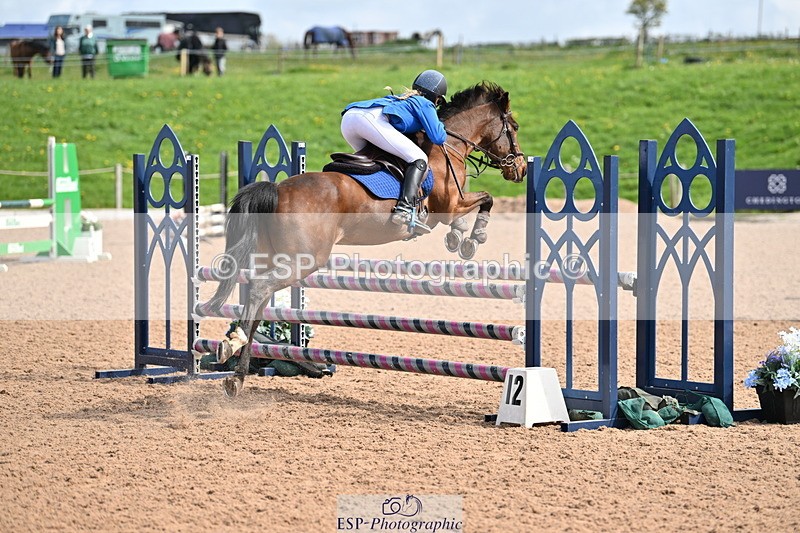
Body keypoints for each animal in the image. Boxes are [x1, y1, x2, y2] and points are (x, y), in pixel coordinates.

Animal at [206, 81, 526, 398]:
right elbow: (486, 199)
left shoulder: (452, 206)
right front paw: (473, 238)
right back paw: (232, 343)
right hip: (304, 260)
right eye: (514, 127)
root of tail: (277, 189)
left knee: (258, 305)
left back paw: (237, 375)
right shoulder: (449, 206)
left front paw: (458, 237)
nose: (521, 169)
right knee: (259, 289)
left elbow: (471, 211)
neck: (448, 148)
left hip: (275, 258)